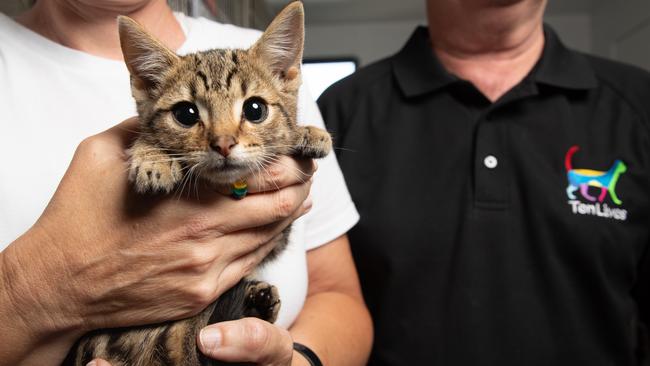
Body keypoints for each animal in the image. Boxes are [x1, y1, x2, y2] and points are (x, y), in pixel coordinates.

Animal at [64, 2, 330, 364]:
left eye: (255, 109)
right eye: (186, 114)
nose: (223, 143)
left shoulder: (277, 239)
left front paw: (306, 133)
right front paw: (152, 158)